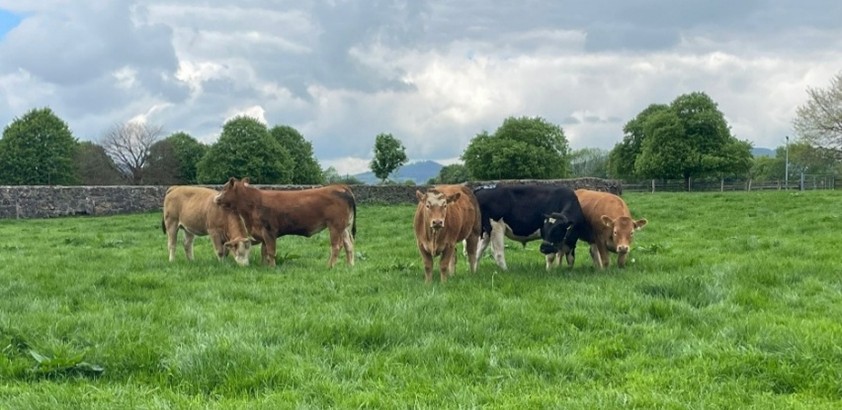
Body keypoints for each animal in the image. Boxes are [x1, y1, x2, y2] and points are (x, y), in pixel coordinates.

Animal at [213, 177, 356, 268]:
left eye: (224, 189)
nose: (215, 199)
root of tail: (341, 187)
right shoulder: (261, 232)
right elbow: (264, 251)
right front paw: (263, 265)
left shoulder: (269, 230)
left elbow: (271, 250)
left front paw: (272, 267)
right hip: (344, 227)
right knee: (349, 245)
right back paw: (350, 265)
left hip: (335, 226)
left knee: (337, 246)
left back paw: (329, 266)